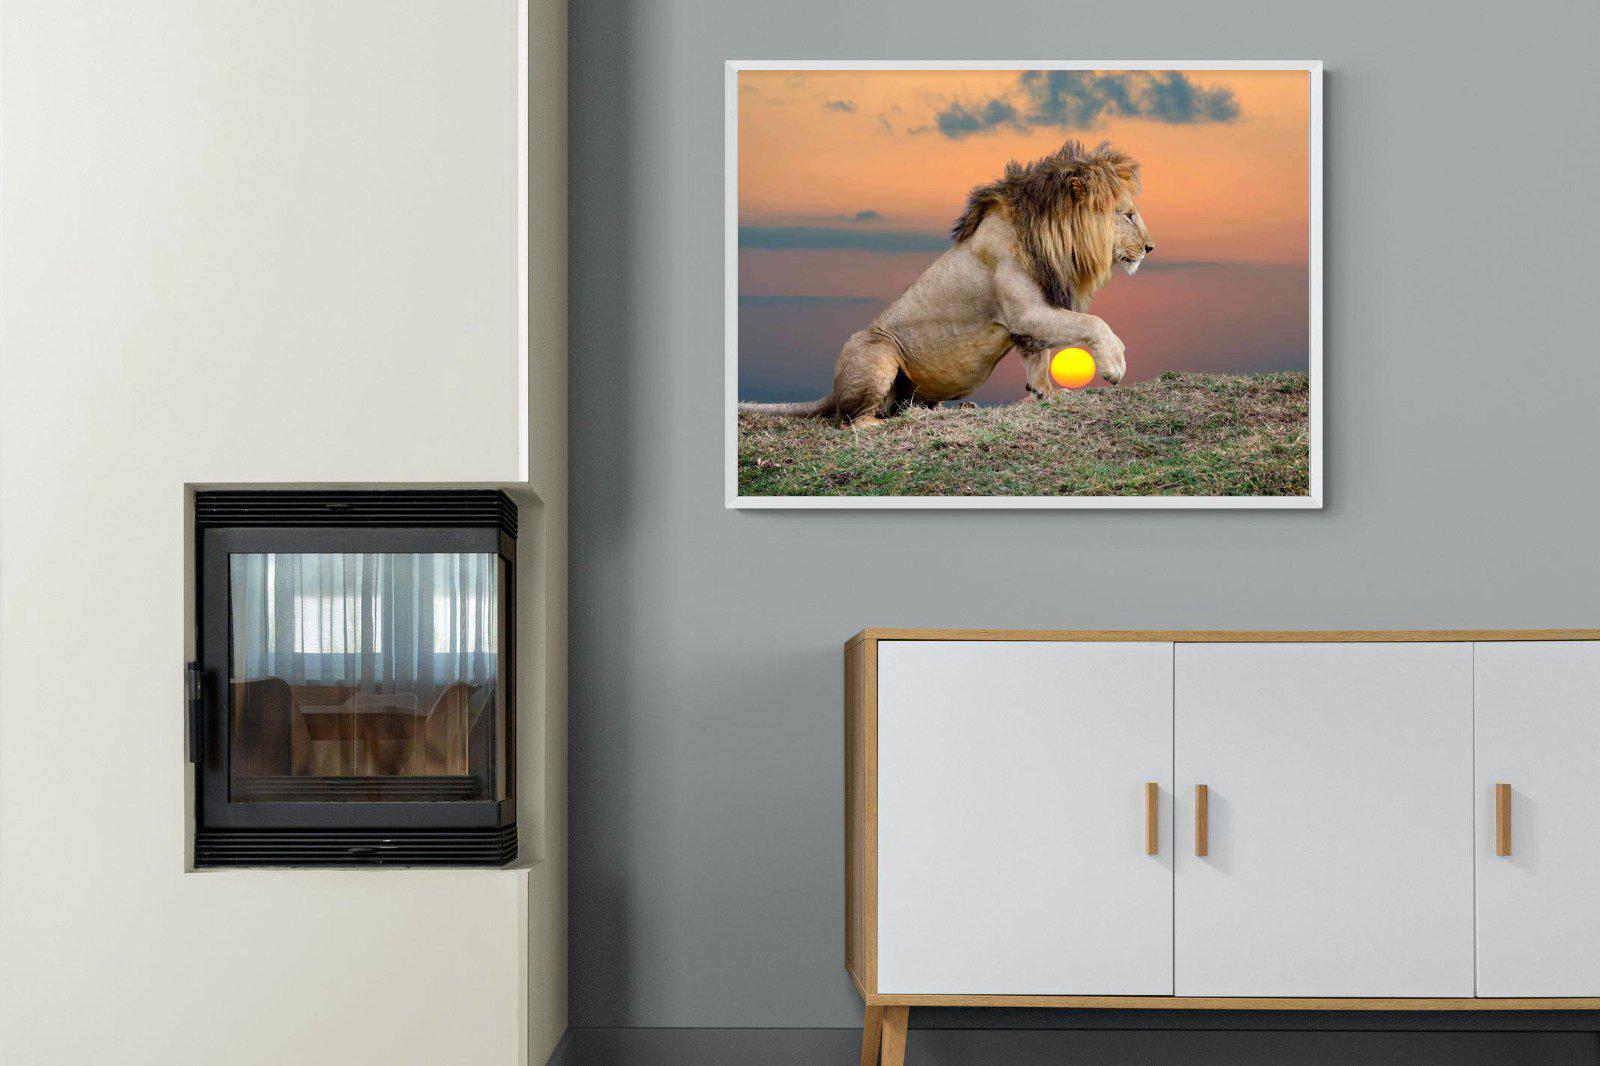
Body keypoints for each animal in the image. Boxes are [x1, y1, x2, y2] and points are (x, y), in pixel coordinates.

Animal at [738, 140, 1154, 427]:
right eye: (1128, 215)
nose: (1151, 247)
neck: (1049, 237)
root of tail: (832, 390)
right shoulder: (1026, 312)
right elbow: (1093, 323)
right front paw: (1114, 364)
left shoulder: (1027, 324)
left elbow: (1038, 362)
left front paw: (1044, 395)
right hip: (877, 351)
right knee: (855, 422)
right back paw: (910, 420)